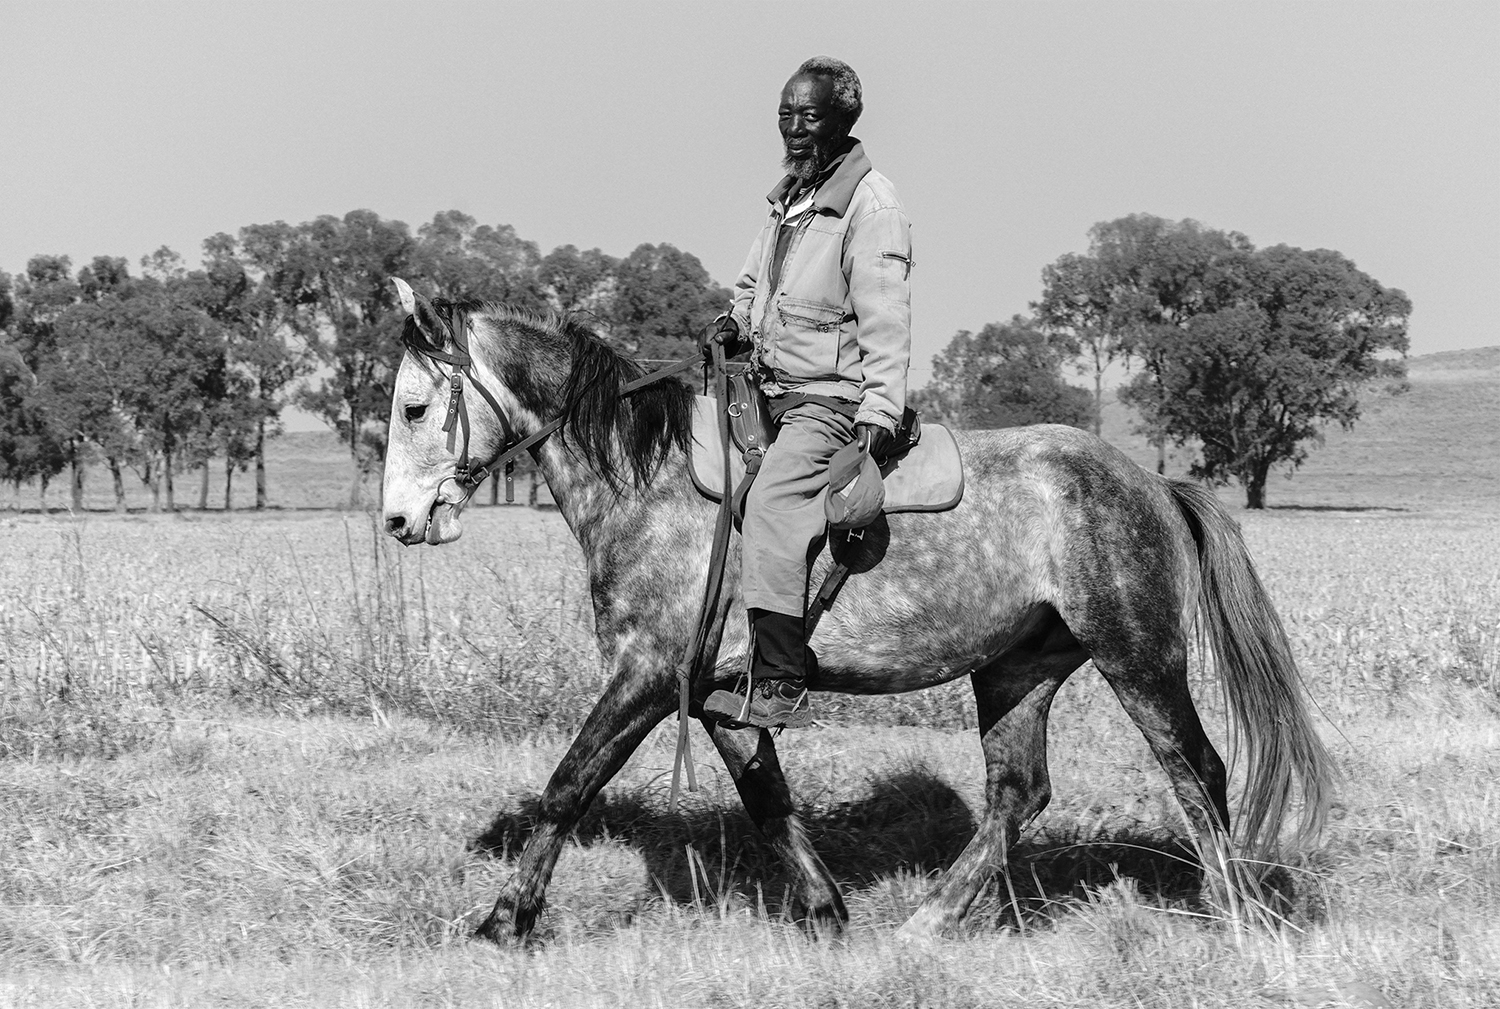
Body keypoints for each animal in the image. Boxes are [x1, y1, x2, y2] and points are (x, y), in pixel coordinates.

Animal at [379, 289, 1334, 942]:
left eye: (415, 407)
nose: (396, 520)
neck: (651, 482)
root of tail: (1150, 482)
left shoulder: (646, 675)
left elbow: (568, 784)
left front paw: (506, 918)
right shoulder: (724, 694)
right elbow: (769, 801)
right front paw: (826, 910)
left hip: (1138, 656)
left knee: (1197, 770)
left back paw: (1233, 911)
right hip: (1018, 668)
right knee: (1018, 791)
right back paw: (928, 920)